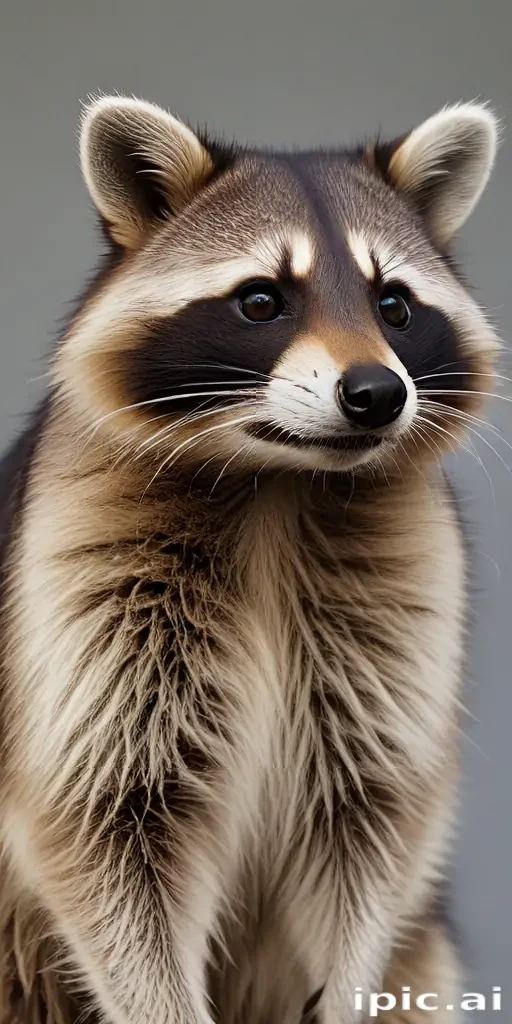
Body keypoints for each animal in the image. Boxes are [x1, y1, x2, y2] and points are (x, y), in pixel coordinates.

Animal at [0, 97, 500, 1024]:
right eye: (261, 300)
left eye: (395, 305)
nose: (377, 394)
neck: (278, 483)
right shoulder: (76, 587)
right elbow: (105, 834)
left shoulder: (403, 595)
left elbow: (371, 833)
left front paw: (347, 992)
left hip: (427, 956)